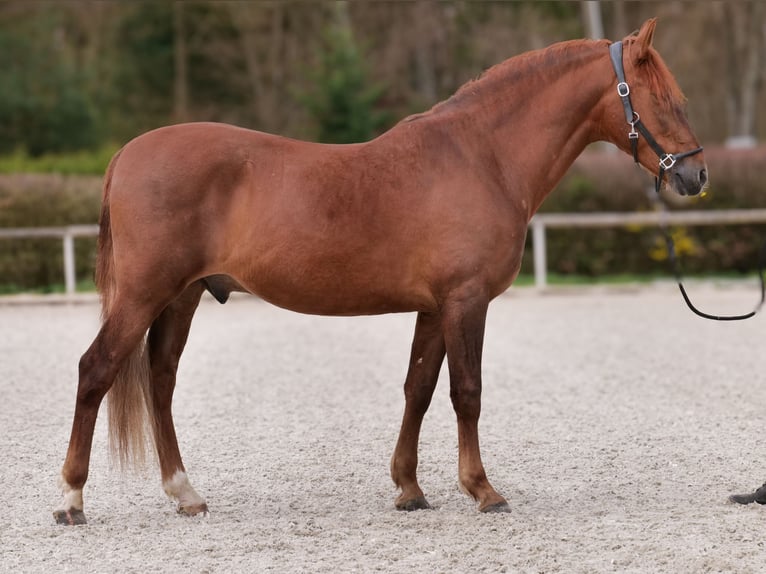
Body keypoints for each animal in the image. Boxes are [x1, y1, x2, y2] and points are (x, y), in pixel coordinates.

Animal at [54, 18, 707, 525]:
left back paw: (185, 493)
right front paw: (483, 490)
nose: (695, 177)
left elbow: (418, 389)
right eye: (665, 99)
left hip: (182, 296)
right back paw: (72, 498)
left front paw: (409, 489)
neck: (483, 157)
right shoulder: (466, 300)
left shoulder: (434, 307)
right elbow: (466, 392)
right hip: (144, 294)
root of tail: (126, 154)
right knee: (96, 370)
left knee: (160, 382)